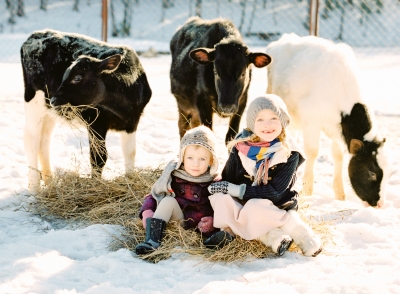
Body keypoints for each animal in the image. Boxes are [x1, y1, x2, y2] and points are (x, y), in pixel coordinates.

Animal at [20, 29, 152, 191]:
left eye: (77, 78)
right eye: (64, 75)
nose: (54, 99)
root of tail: (38, 33)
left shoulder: (132, 122)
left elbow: (130, 152)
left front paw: (130, 179)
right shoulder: (95, 122)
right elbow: (98, 157)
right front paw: (96, 184)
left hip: (48, 111)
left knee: (44, 139)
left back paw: (50, 182)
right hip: (34, 100)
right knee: (32, 138)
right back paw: (35, 187)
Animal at [266, 33, 390, 208]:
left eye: (389, 174)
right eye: (371, 172)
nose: (380, 204)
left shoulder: (336, 129)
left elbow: (338, 155)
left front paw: (340, 193)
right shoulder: (311, 120)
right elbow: (312, 151)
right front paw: (307, 190)